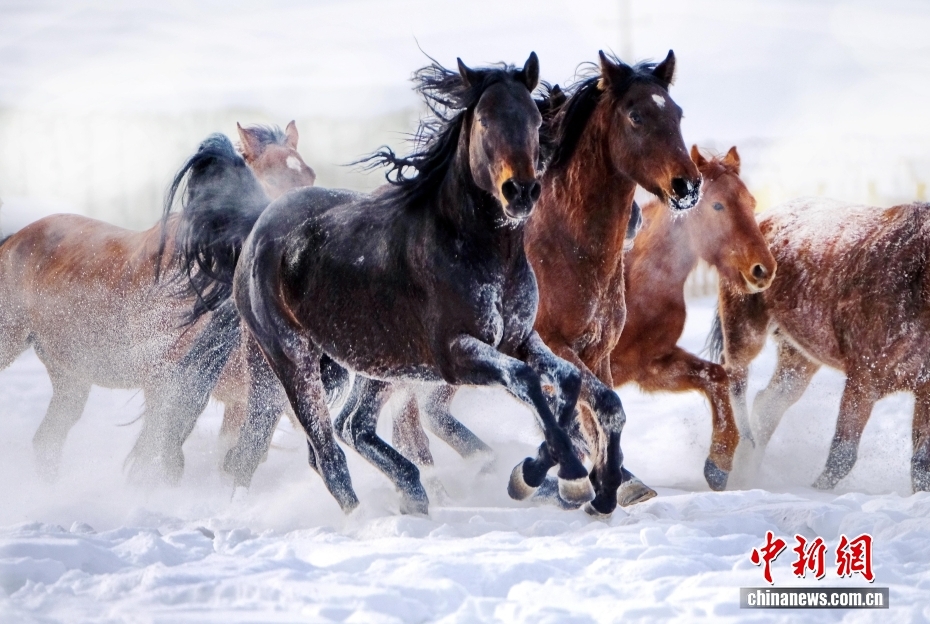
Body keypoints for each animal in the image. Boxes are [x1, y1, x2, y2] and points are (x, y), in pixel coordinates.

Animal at [0, 122, 315, 482]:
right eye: (268, 180)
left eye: (310, 175)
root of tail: (14, 239)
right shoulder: (165, 384)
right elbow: (161, 454)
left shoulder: (238, 398)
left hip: (70, 375)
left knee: (47, 441)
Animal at [607, 146, 775, 490]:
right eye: (717, 204)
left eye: (751, 202)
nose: (762, 269)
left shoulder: (650, 366)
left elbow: (717, 377)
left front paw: (718, 465)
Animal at [708, 197, 930, 494]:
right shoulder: (863, 378)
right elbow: (842, 455)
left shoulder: (925, 389)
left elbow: (921, 465)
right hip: (744, 330)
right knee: (733, 378)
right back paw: (720, 468)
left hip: (799, 357)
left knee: (767, 405)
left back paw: (746, 472)